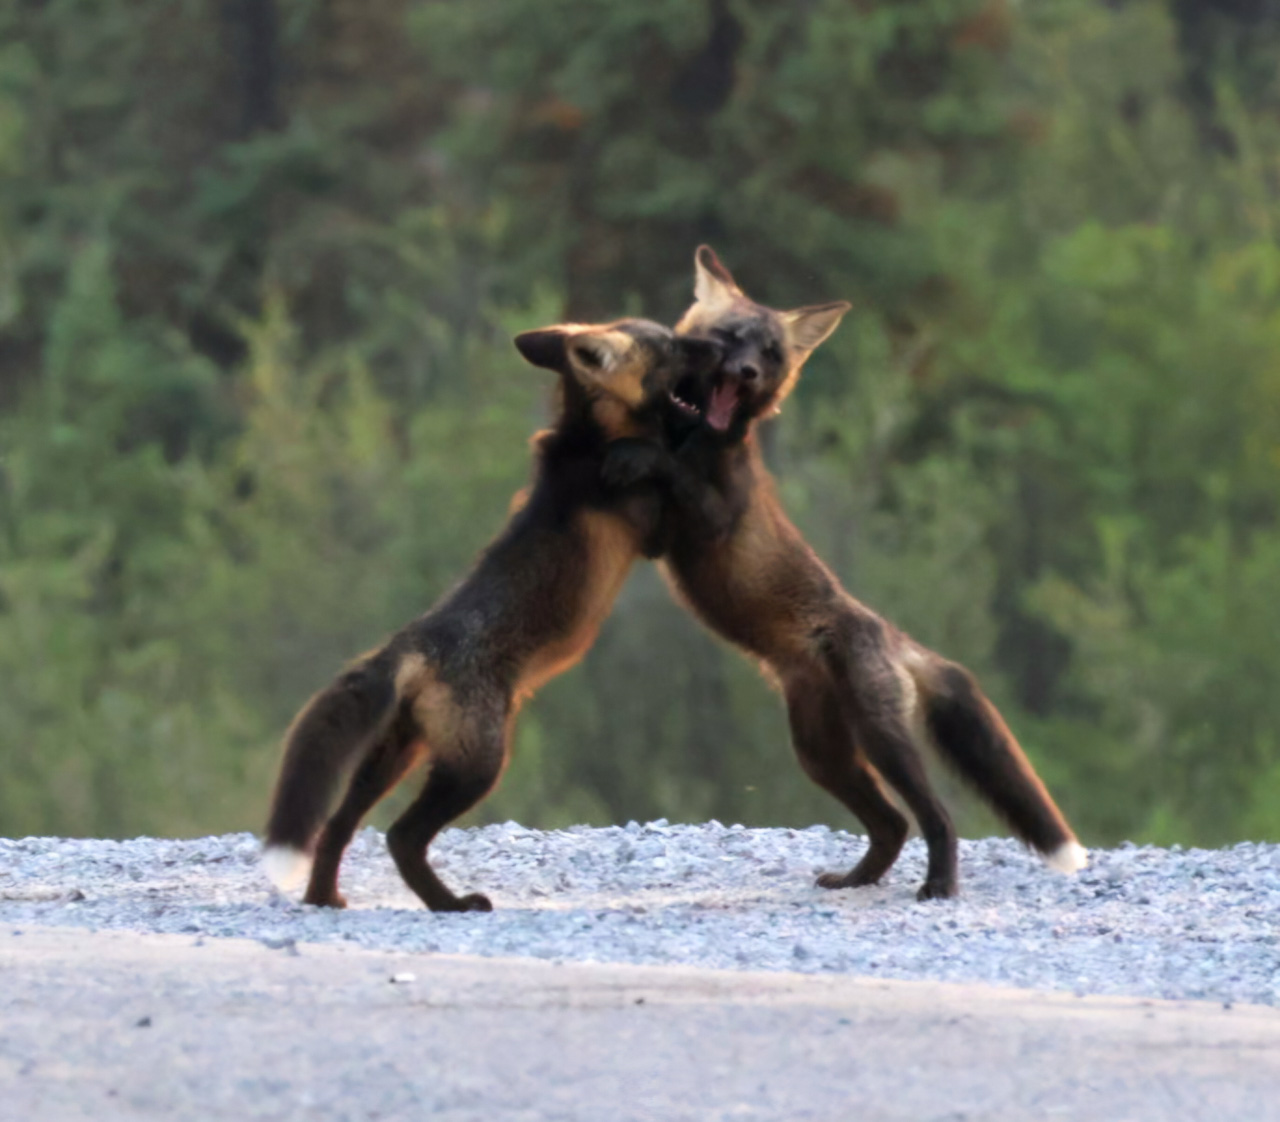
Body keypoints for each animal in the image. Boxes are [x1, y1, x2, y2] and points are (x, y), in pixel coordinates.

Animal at [261, 318, 719, 911]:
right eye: (670, 345)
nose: (715, 344)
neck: (589, 438)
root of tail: (408, 644)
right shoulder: (655, 532)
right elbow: (670, 468)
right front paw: (662, 450)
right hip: (478, 766)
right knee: (400, 836)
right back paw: (451, 904)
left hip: (395, 756)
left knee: (337, 826)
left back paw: (324, 898)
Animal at [604, 247, 1087, 900]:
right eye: (729, 339)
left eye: (770, 353)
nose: (747, 373)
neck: (701, 436)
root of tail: (891, 635)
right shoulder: (664, 539)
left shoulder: (712, 520)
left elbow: (665, 466)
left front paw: (635, 454)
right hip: (822, 755)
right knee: (891, 825)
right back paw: (857, 879)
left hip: (881, 743)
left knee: (935, 817)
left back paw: (939, 886)